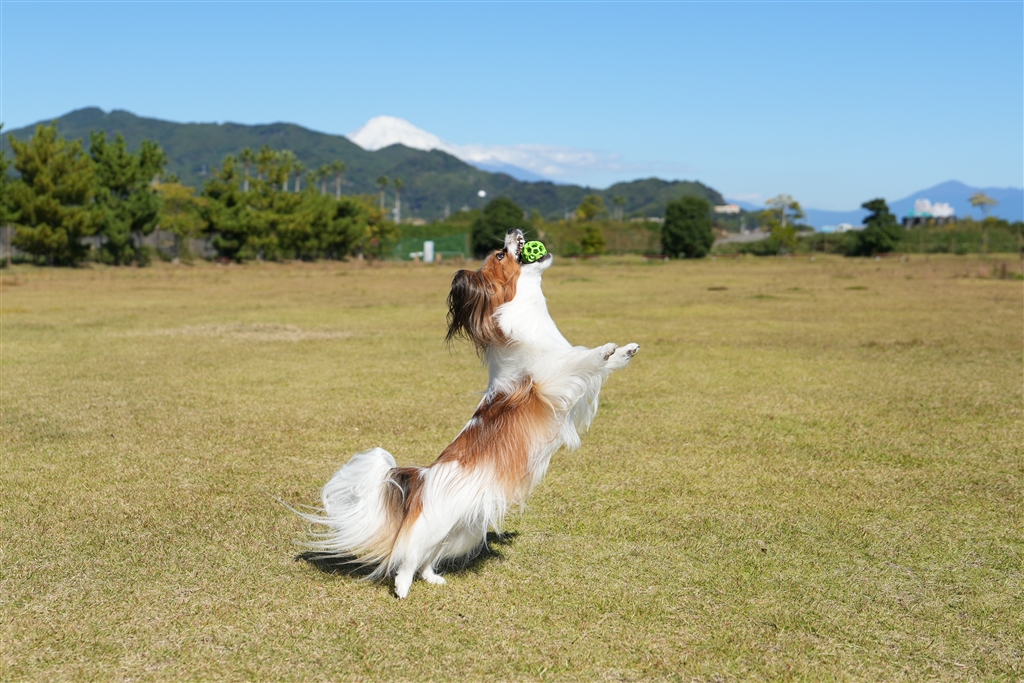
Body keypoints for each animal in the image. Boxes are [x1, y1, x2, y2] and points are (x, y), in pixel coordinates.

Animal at [298, 228, 638, 598]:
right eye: (500, 255)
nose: (514, 232)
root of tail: (424, 478)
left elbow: (597, 366)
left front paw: (625, 351)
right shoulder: (549, 381)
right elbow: (581, 357)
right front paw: (605, 349)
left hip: (465, 530)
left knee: (428, 556)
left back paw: (432, 577)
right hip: (438, 523)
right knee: (408, 554)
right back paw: (402, 587)